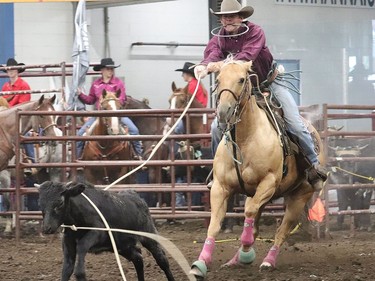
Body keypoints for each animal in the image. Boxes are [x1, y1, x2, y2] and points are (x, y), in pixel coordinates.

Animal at [189, 59, 324, 278]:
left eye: (241, 79)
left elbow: (250, 213)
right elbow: (215, 224)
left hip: (299, 195)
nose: (224, 111)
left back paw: (267, 261)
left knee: (281, 232)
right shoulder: (220, 187)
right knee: (256, 224)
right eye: (217, 79)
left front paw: (247, 252)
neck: (246, 139)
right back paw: (234, 261)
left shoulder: (268, 182)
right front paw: (201, 262)